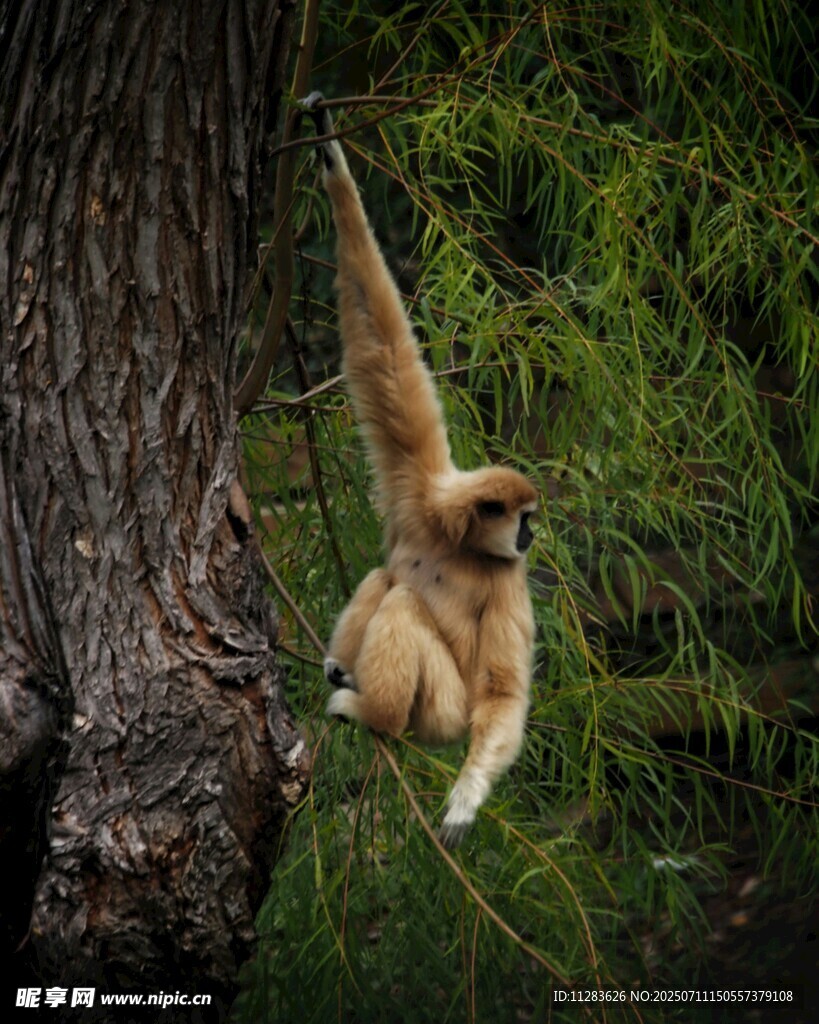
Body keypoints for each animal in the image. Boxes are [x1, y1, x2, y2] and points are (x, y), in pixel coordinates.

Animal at [302, 93, 538, 848]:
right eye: (523, 520)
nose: (530, 538)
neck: (455, 539)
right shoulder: (419, 490)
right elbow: (383, 350)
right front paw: (329, 154)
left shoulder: (510, 580)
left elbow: (502, 692)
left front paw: (467, 797)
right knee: (388, 581)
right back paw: (343, 672)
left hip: (441, 717)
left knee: (404, 604)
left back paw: (369, 712)